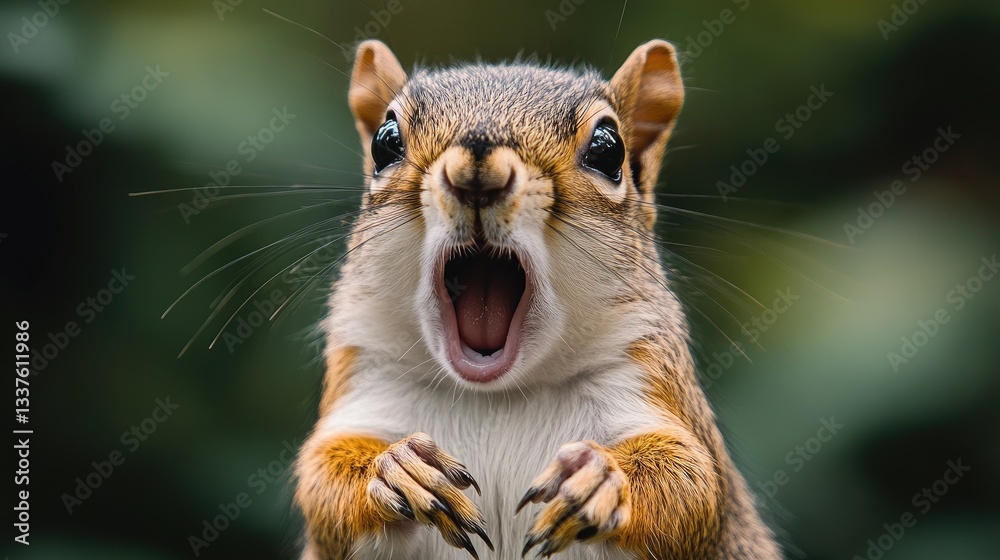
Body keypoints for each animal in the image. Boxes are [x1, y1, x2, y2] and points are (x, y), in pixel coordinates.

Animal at [293, 39, 783, 560]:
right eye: (385, 142)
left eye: (608, 149)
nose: (477, 169)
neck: (499, 396)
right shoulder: (368, 380)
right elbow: (321, 483)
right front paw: (398, 468)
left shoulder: (648, 379)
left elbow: (693, 484)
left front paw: (602, 480)